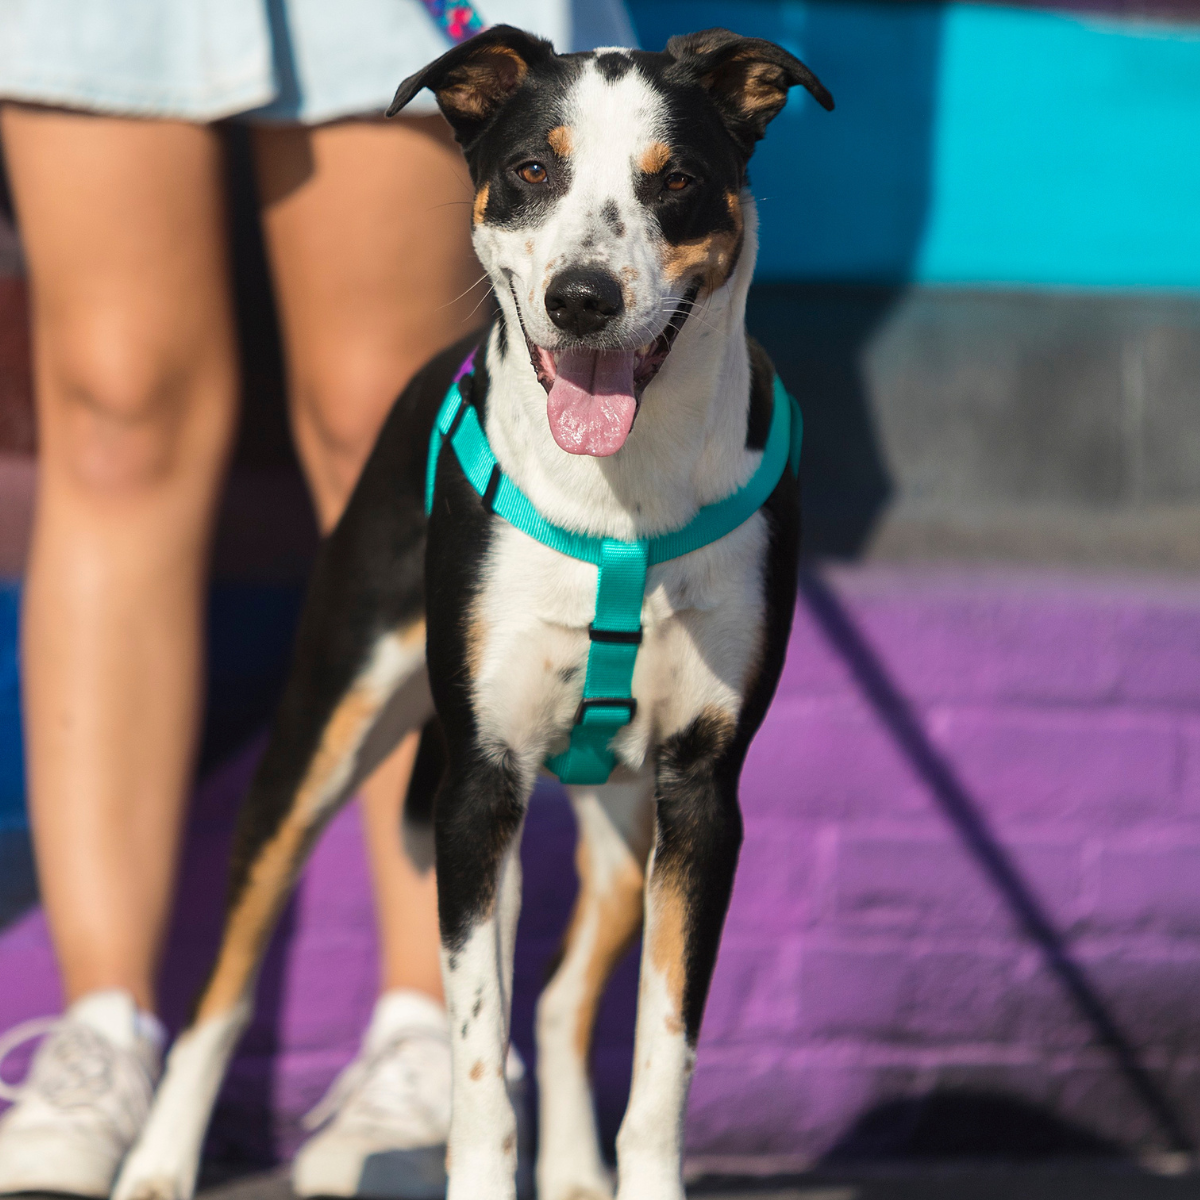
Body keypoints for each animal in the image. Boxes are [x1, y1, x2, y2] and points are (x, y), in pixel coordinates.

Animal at [117, 25, 835, 1200]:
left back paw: (577, 1173)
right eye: (533, 169)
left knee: (551, 997)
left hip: (620, 825)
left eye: (677, 181)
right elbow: (474, 1067)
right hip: (325, 736)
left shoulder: (702, 798)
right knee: (231, 973)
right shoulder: (477, 788)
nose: (584, 298)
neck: (620, 500)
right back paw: (159, 1162)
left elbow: (661, 1057)